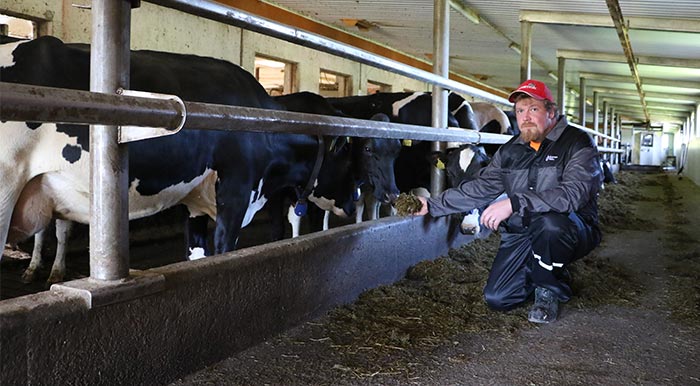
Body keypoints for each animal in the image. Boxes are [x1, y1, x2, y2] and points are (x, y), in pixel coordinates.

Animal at [0, 35, 388, 280]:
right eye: (351, 155)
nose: (356, 199)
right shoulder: (236, 193)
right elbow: (223, 253)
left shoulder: (196, 204)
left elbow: (196, 256)